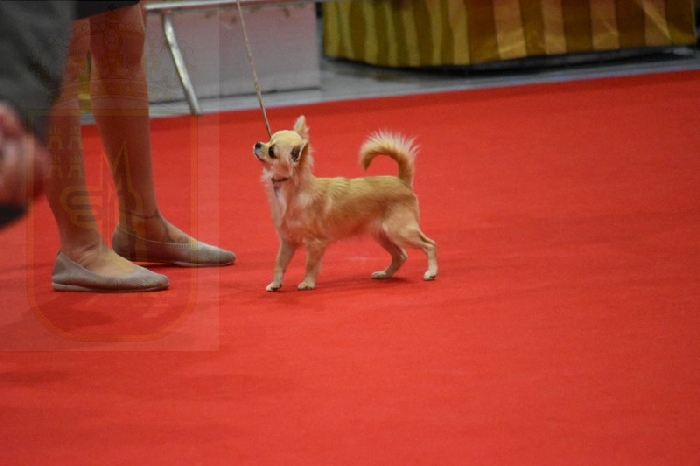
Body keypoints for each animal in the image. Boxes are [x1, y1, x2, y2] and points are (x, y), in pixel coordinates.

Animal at [253, 115, 437, 291]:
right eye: (268, 139)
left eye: (271, 151)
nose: (257, 144)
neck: (292, 191)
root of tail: (402, 180)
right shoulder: (287, 242)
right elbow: (279, 263)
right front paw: (275, 283)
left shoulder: (316, 244)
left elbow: (310, 265)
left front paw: (307, 283)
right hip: (382, 235)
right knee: (400, 255)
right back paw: (385, 274)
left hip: (400, 231)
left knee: (429, 245)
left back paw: (431, 272)